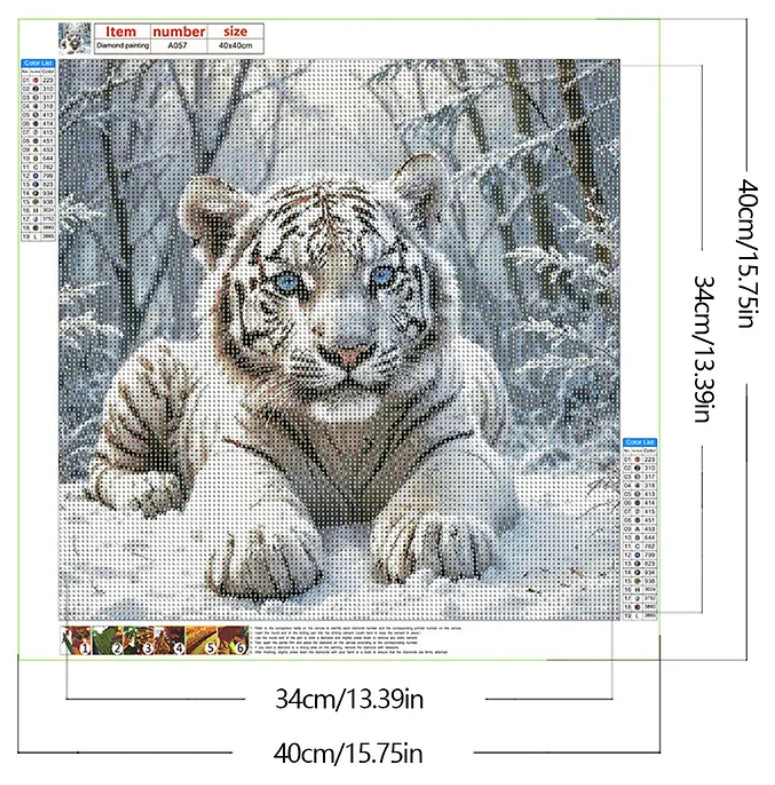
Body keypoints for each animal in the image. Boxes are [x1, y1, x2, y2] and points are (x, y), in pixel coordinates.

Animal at [86, 154, 520, 600]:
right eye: (288, 282)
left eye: (381, 276)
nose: (349, 350)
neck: (347, 434)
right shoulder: (237, 449)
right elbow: (252, 491)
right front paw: (261, 548)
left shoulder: (456, 439)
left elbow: (442, 481)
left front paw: (429, 534)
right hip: (146, 370)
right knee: (101, 470)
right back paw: (152, 488)